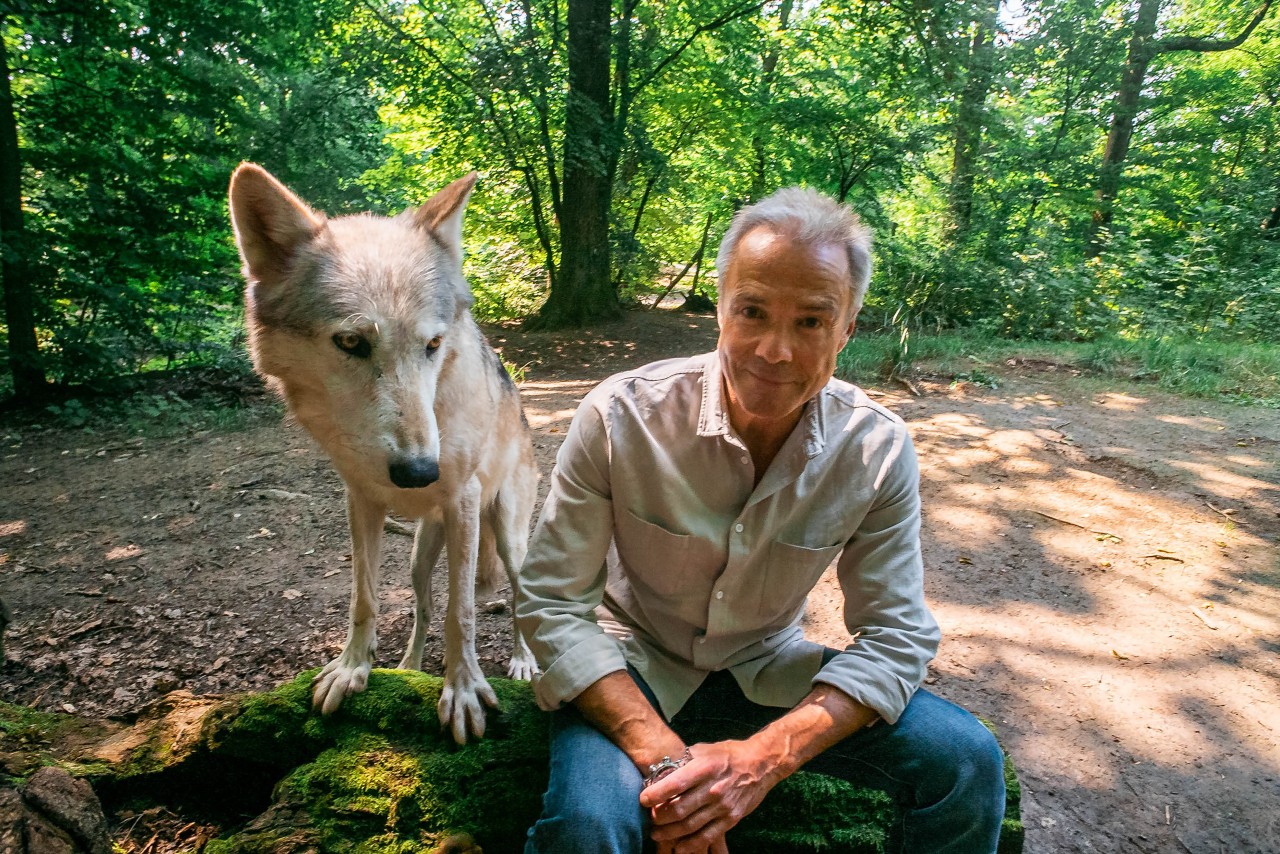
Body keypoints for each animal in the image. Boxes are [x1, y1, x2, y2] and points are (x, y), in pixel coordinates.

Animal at [227, 163, 537, 742]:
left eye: (433, 346)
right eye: (351, 342)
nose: (419, 473)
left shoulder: (463, 501)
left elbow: (463, 612)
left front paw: (464, 691)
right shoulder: (361, 501)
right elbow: (365, 597)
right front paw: (353, 670)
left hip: (508, 538)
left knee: (519, 602)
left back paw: (524, 662)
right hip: (419, 556)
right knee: (422, 608)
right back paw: (410, 669)